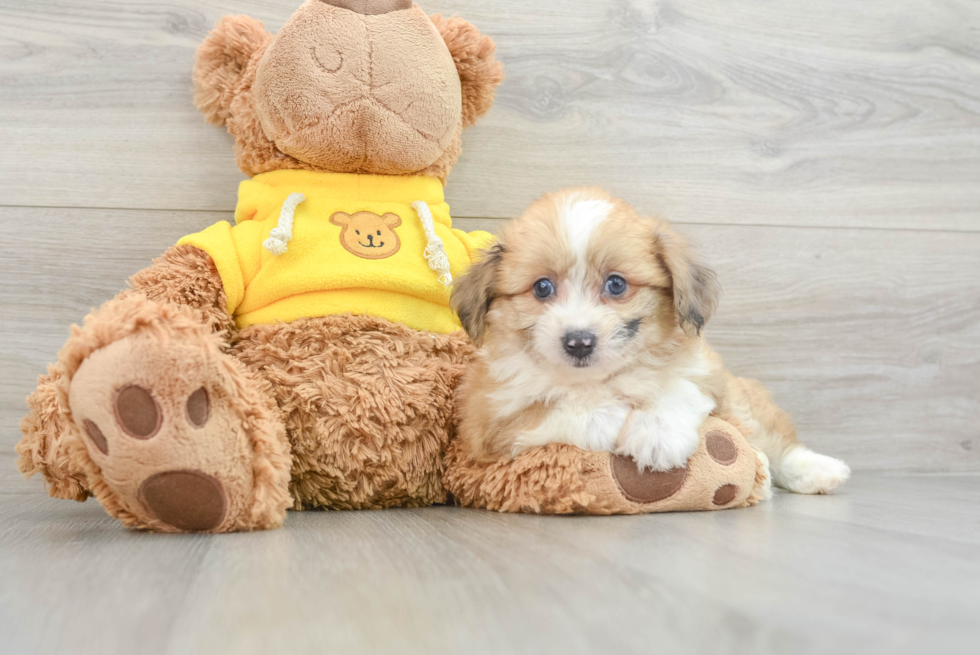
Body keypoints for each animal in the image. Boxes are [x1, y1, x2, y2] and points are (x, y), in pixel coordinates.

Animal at [452, 187, 848, 494]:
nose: (578, 342)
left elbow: (678, 387)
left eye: (616, 284)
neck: (600, 379)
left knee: (769, 439)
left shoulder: (706, 373)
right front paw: (609, 416)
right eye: (541, 288)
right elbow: (548, 410)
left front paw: (657, 435)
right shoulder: (488, 422)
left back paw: (817, 470)